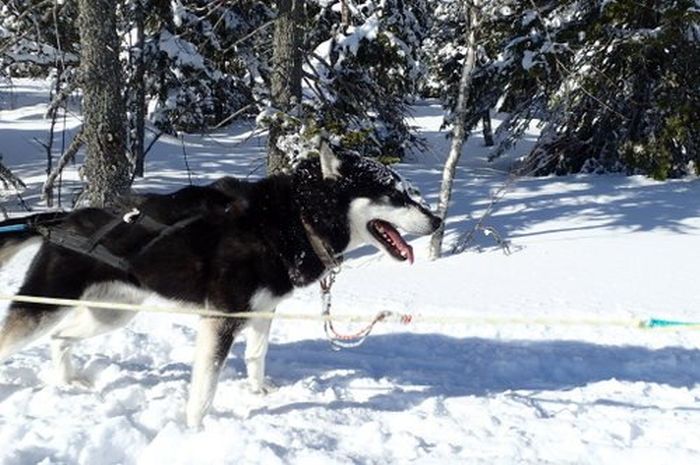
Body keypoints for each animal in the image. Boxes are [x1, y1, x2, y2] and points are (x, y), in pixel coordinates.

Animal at [0, 144, 440, 424]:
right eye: (394, 194)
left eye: (407, 190)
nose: (437, 221)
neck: (294, 219)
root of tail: (62, 219)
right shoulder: (222, 320)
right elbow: (206, 385)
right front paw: (195, 430)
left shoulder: (263, 311)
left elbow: (256, 356)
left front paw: (258, 393)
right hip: (44, 307)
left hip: (111, 315)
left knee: (60, 339)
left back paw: (68, 381)